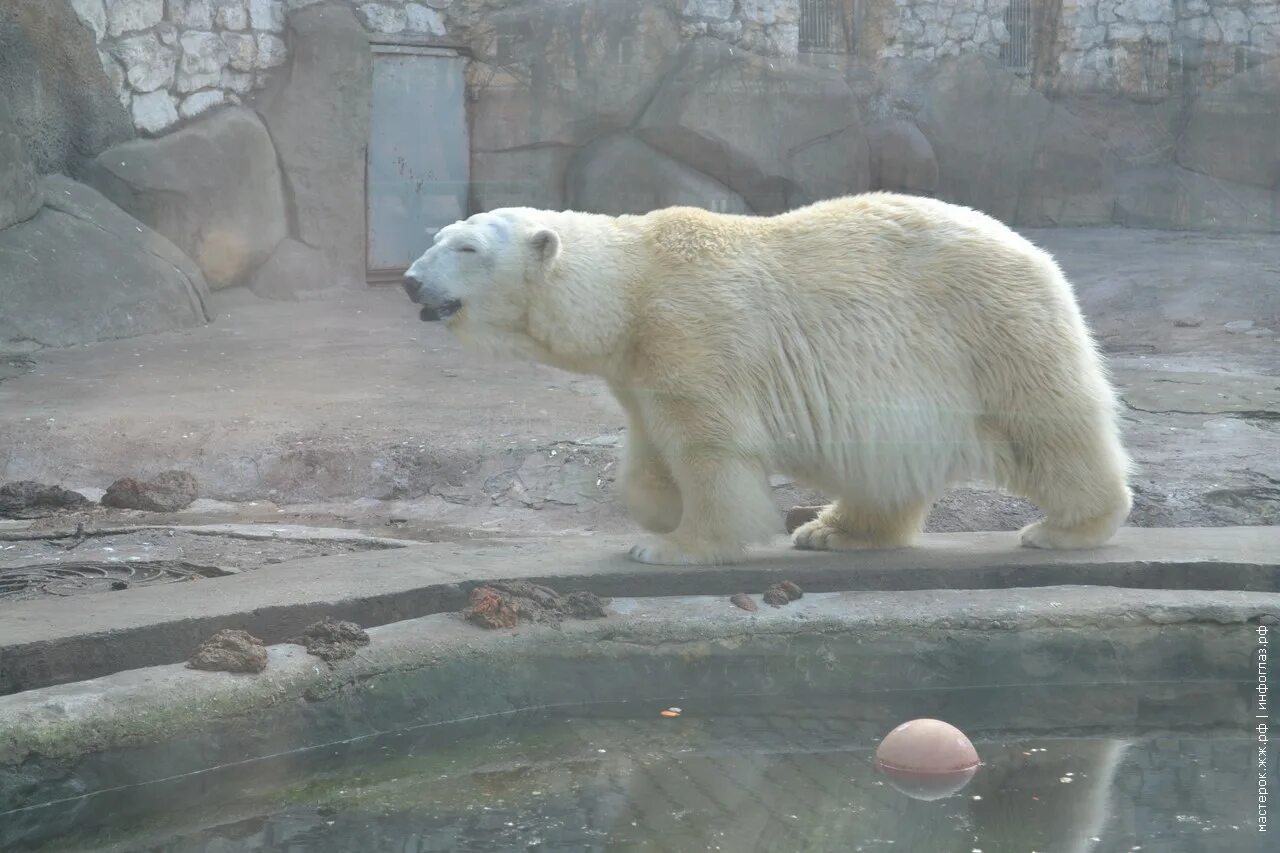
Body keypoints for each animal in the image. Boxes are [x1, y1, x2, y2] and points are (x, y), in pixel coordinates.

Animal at [404, 193, 1136, 563]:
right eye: (437, 236)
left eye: (467, 247)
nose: (411, 280)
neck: (632, 285)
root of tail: (1035, 252)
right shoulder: (639, 364)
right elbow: (647, 446)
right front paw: (657, 510)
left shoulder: (695, 328)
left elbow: (711, 448)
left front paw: (674, 545)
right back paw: (833, 531)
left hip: (991, 330)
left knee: (1048, 425)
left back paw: (1065, 528)